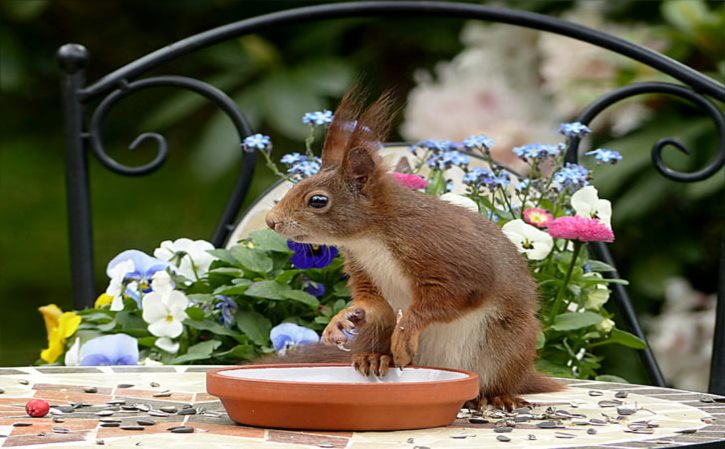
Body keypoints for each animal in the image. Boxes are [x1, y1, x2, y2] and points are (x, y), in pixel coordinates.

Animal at [264, 87, 564, 410]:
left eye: (318, 201)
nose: (271, 221)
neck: (370, 238)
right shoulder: (362, 267)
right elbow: (372, 304)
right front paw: (342, 318)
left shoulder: (445, 255)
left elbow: (448, 299)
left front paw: (405, 333)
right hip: (376, 333)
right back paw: (374, 357)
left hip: (507, 345)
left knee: (499, 381)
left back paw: (498, 396)